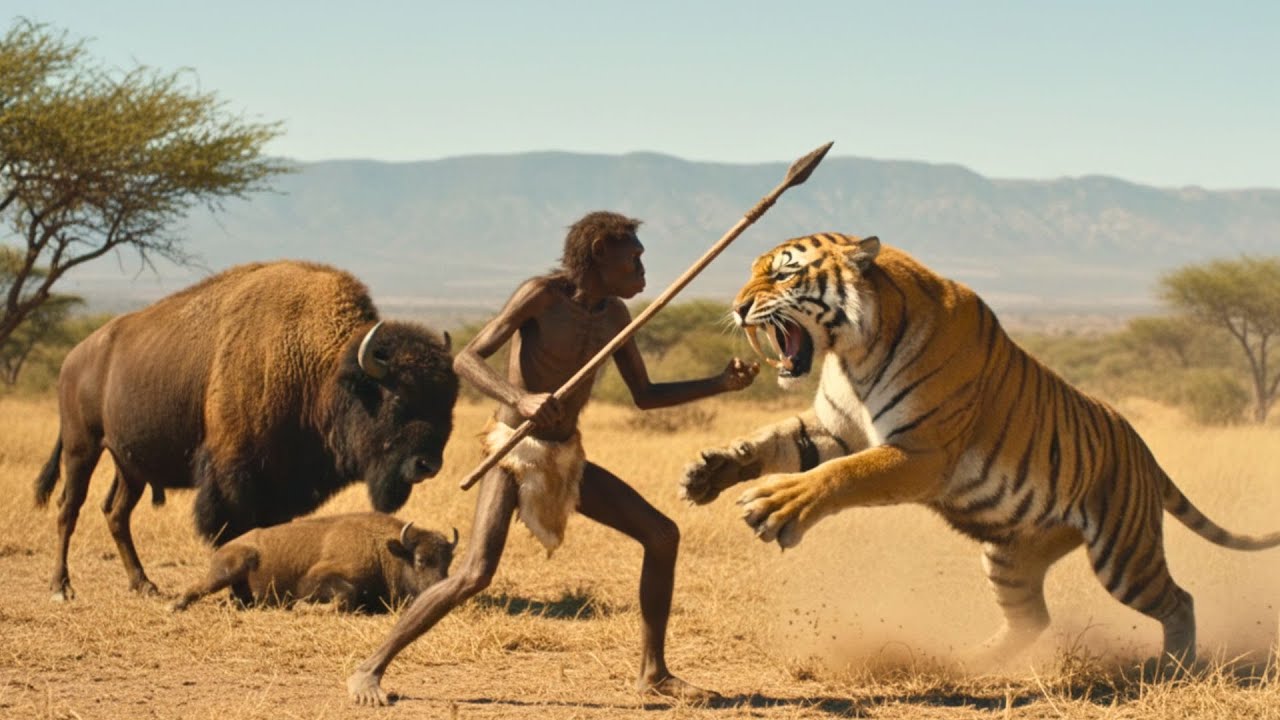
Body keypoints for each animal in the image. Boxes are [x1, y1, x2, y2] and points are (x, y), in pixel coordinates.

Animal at [34, 260, 458, 601]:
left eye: (448, 402)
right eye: (398, 399)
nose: (427, 464)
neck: (320, 370)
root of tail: (74, 357)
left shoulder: (283, 483)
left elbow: (270, 530)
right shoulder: (233, 476)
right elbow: (233, 527)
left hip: (130, 466)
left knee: (116, 514)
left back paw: (144, 585)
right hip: (82, 448)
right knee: (68, 509)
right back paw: (61, 588)